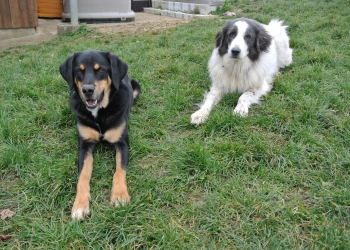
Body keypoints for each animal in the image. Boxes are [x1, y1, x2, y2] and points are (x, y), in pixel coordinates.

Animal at [59, 49, 140, 220]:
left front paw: (119, 196)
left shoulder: (122, 143)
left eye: (100, 70)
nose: (87, 90)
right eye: (79, 71)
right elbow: (83, 176)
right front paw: (80, 205)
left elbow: (119, 171)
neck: (99, 113)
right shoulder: (85, 146)